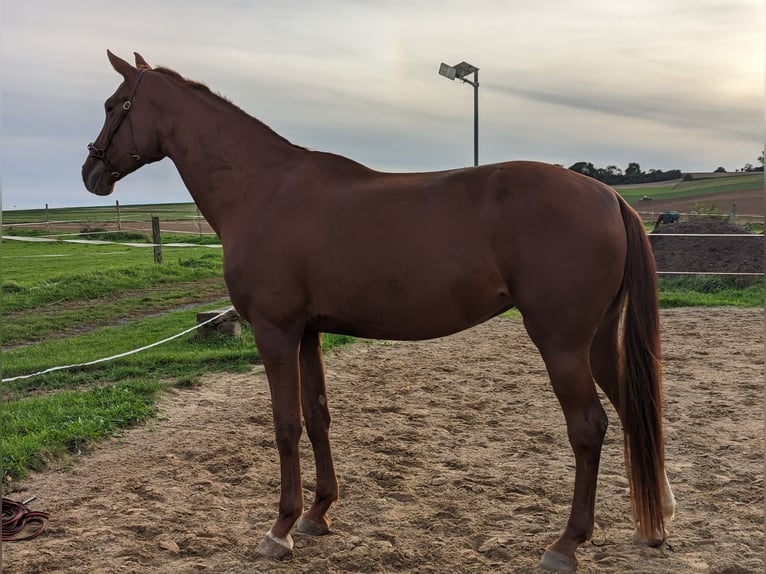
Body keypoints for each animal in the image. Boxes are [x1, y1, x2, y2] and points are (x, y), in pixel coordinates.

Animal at [81, 51, 676, 572]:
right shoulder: (307, 333)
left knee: (589, 427)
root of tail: (607, 196)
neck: (261, 189)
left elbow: (285, 425)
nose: (91, 172)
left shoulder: (275, 332)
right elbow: (317, 416)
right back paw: (657, 519)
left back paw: (566, 544)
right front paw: (317, 514)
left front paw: (279, 529)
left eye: (113, 105)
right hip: (596, 341)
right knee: (633, 409)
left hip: (561, 343)